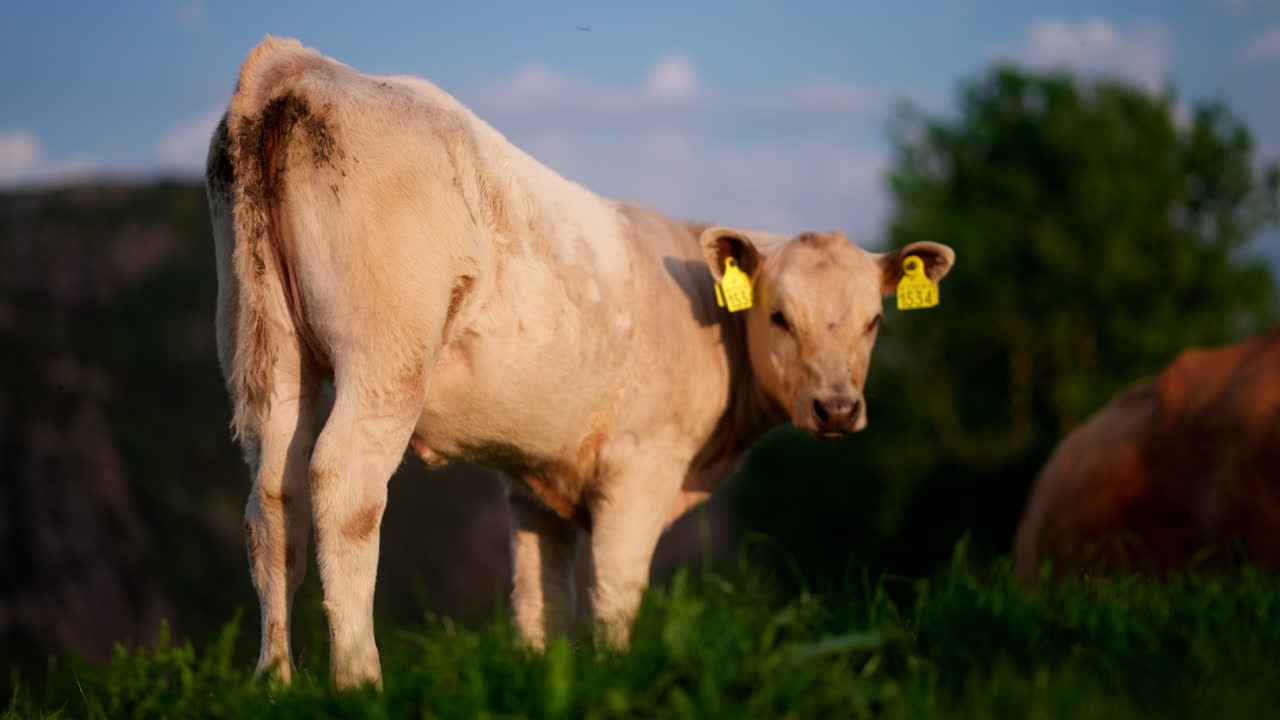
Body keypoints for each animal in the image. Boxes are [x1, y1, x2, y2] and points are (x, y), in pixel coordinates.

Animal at [206, 36, 955, 688]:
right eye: (779, 317)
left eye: (875, 320)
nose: (838, 408)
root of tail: (301, 64)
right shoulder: (642, 466)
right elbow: (613, 596)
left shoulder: (535, 482)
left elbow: (540, 600)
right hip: (385, 357)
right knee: (345, 485)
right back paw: (360, 682)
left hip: (269, 350)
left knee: (273, 497)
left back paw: (276, 682)